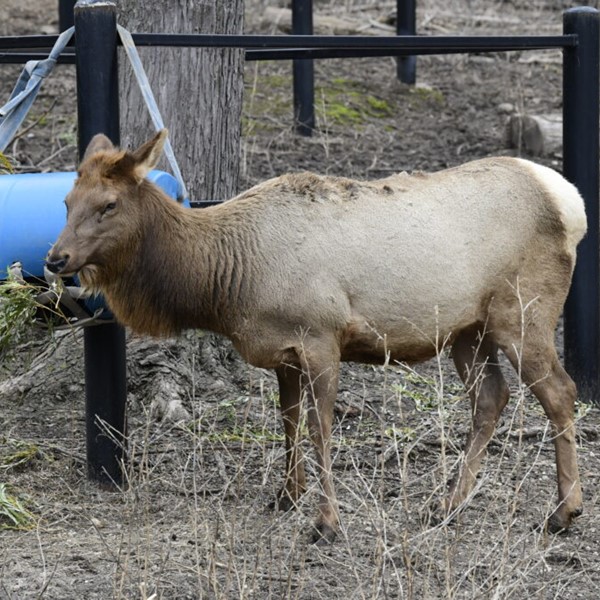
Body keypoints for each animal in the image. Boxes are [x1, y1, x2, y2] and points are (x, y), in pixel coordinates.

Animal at [45, 131, 584, 544]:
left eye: (109, 204)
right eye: (67, 201)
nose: (55, 258)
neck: (230, 283)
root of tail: (570, 203)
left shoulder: (322, 337)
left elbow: (320, 428)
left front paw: (326, 522)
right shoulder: (283, 352)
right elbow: (288, 421)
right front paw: (287, 495)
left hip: (524, 310)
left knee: (561, 391)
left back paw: (563, 512)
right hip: (469, 331)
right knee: (492, 397)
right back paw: (448, 504)